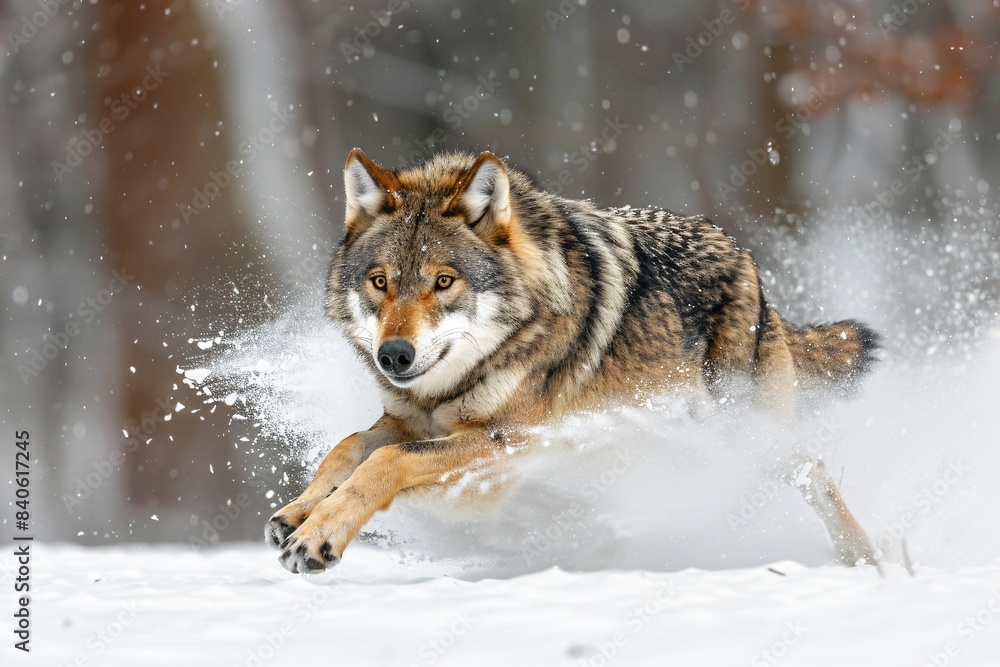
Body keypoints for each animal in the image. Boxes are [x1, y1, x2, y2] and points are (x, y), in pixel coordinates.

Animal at [266, 149, 880, 573]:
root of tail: (746, 259)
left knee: (813, 468)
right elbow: (349, 448)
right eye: (380, 282)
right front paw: (298, 514)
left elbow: (386, 463)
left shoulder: (509, 441)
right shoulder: (407, 421)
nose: (394, 355)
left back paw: (866, 559)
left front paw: (319, 538)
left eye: (443, 281)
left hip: (741, 434)